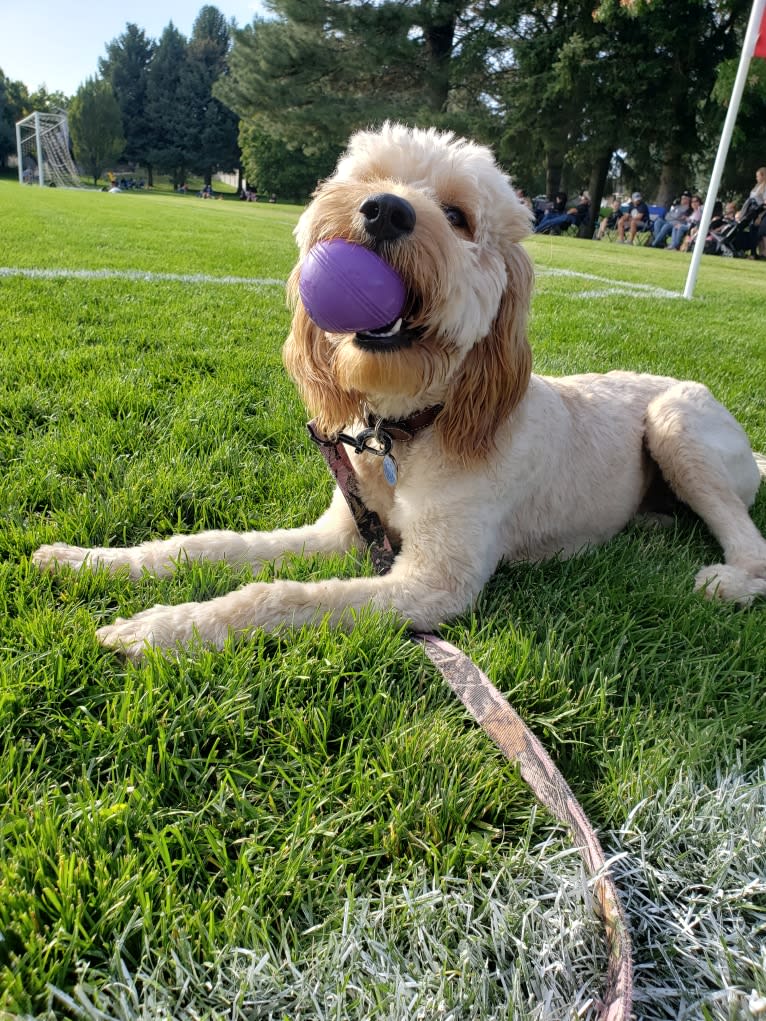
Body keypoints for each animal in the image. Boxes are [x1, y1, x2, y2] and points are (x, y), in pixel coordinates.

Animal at [31, 123, 766, 657]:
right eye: (368, 178)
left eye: (459, 216)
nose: (383, 210)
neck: (408, 431)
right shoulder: (344, 533)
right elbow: (211, 546)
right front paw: (87, 560)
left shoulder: (432, 582)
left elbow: (283, 595)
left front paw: (161, 628)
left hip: (676, 422)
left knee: (750, 541)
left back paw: (728, 581)